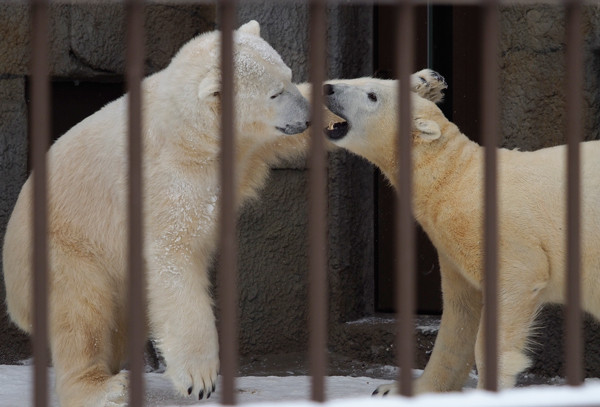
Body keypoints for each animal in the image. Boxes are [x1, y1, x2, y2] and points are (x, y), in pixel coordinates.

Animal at [1, 20, 310, 406]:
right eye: (274, 94)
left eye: (290, 76)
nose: (306, 118)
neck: (190, 132)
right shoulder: (165, 179)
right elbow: (172, 257)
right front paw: (199, 378)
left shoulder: (242, 149)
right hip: (67, 251)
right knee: (82, 311)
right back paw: (104, 386)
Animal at [324, 76, 600, 396]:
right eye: (368, 80)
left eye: (372, 95)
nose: (328, 88)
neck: (456, 176)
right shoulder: (452, 246)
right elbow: (459, 314)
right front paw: (395, 389)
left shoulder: (499, 234)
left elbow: (515, 281)